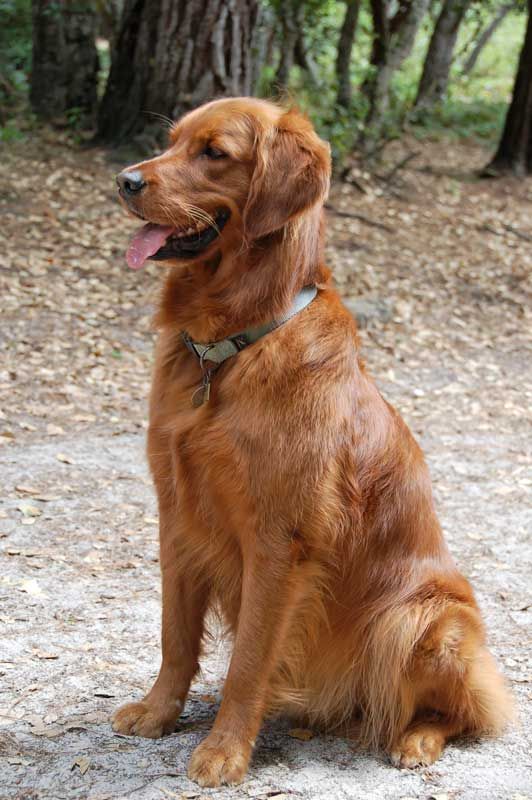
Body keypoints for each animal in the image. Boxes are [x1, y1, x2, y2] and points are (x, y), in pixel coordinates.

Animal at [111, 98, 512, 788]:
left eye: (214, 153)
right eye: (172, 142)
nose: (126, 181)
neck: (230, 348)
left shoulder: (279, 539)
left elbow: (248, 661)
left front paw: (225, 750)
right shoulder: (176, 515)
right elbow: (175, 635)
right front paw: (160, 712)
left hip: (421, 620)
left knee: (465, 711)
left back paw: (416, 740)